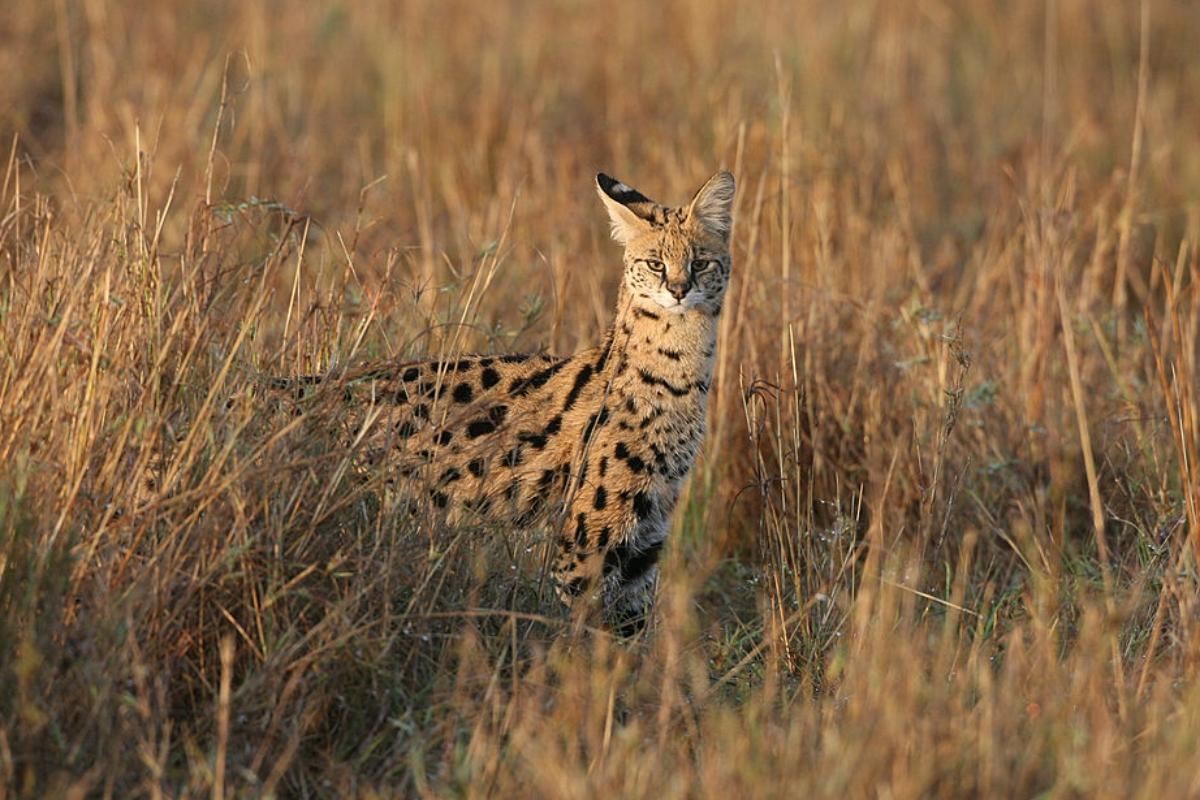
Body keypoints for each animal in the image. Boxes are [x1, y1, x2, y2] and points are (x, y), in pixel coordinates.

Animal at [279, 170, 729, 633]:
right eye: (656, 263)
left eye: (700, 263)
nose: (679, 290)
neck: (679, 379)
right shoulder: (586, 540)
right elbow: (583, 636)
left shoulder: (646, 539)